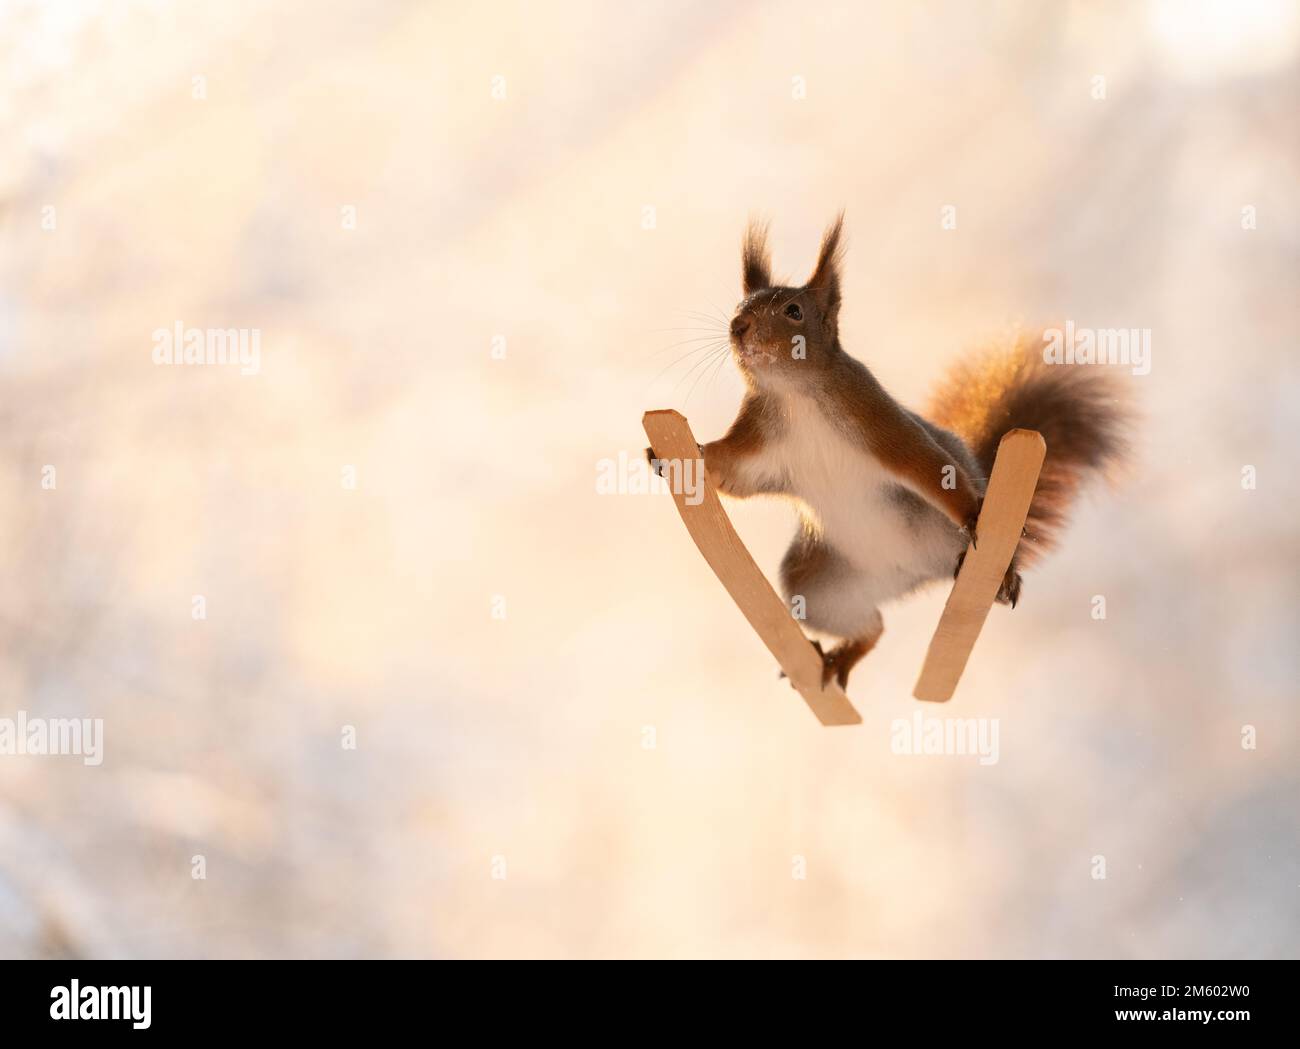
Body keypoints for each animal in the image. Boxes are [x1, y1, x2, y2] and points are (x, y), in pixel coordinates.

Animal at [650, 215, 1128, 690]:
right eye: (739, 305)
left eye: (794, 311)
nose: (738, 326)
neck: (794, 395)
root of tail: (912, 574)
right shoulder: (759, 443)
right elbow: (735, 476)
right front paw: (678, 457)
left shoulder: (877, 421)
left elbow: (923, 464)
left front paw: (974, 515)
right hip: (818, 585)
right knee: (875, 627)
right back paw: (840, 657)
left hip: (937, 534)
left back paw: (1001, 569)